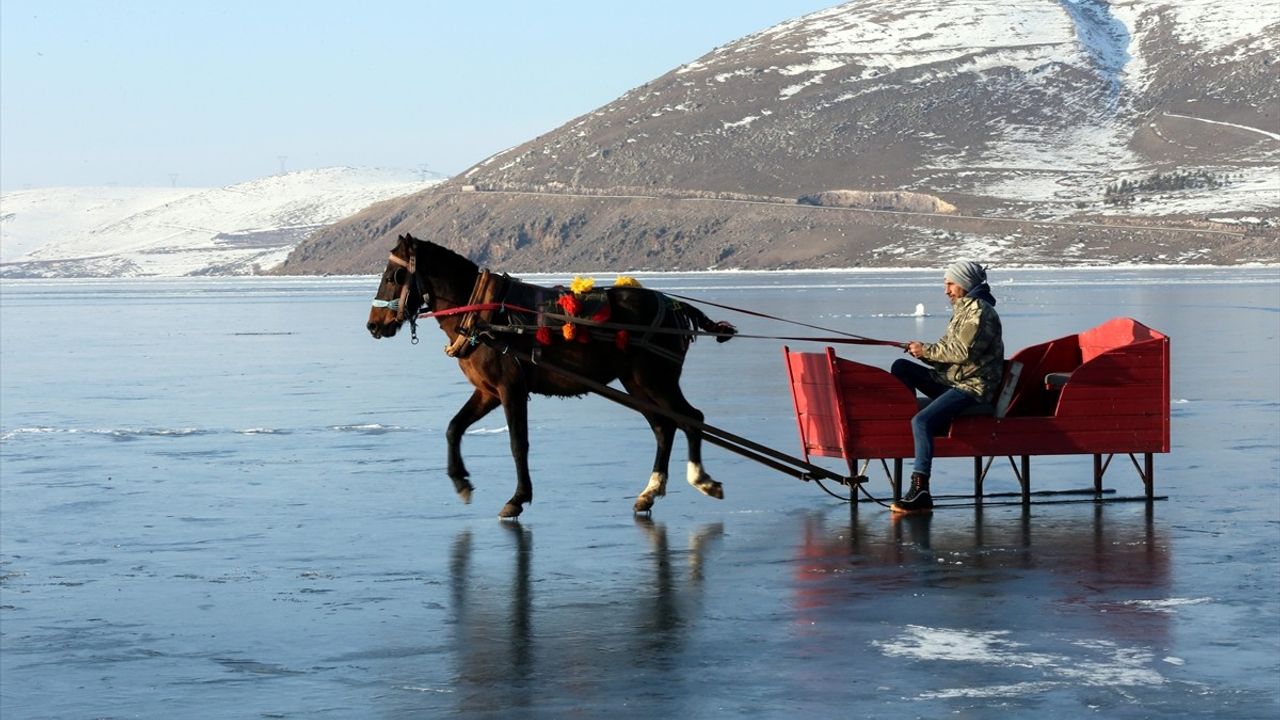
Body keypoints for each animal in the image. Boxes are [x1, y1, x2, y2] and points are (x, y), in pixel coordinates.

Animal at [366, 233, 737, 517]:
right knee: (664, 426)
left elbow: (518, 443)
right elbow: (453, 427)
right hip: (636, 383)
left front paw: (518, 498)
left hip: (656, 379)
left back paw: (702, 480)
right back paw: (650, 491)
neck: (481, 312)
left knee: (691, 418)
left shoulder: (510, 387)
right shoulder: (487, 391)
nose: (372, 325)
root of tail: (675, 307)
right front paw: (461, 481)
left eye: (392, 276)